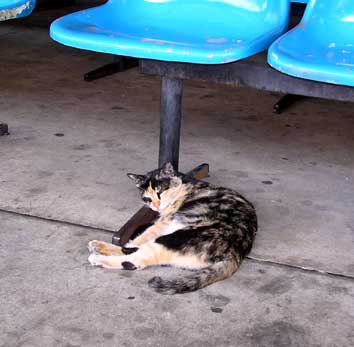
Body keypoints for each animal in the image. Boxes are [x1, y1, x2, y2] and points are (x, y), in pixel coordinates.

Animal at [88, 162, 258, 294]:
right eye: (147, 198)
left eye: (161, 191)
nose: (156, 206)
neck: (184, 185)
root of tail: (235, 254)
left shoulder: (164, 221)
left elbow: (140, 238)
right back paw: (98, 246)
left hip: (173, 238)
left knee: (134, 259)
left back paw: (97, 257)